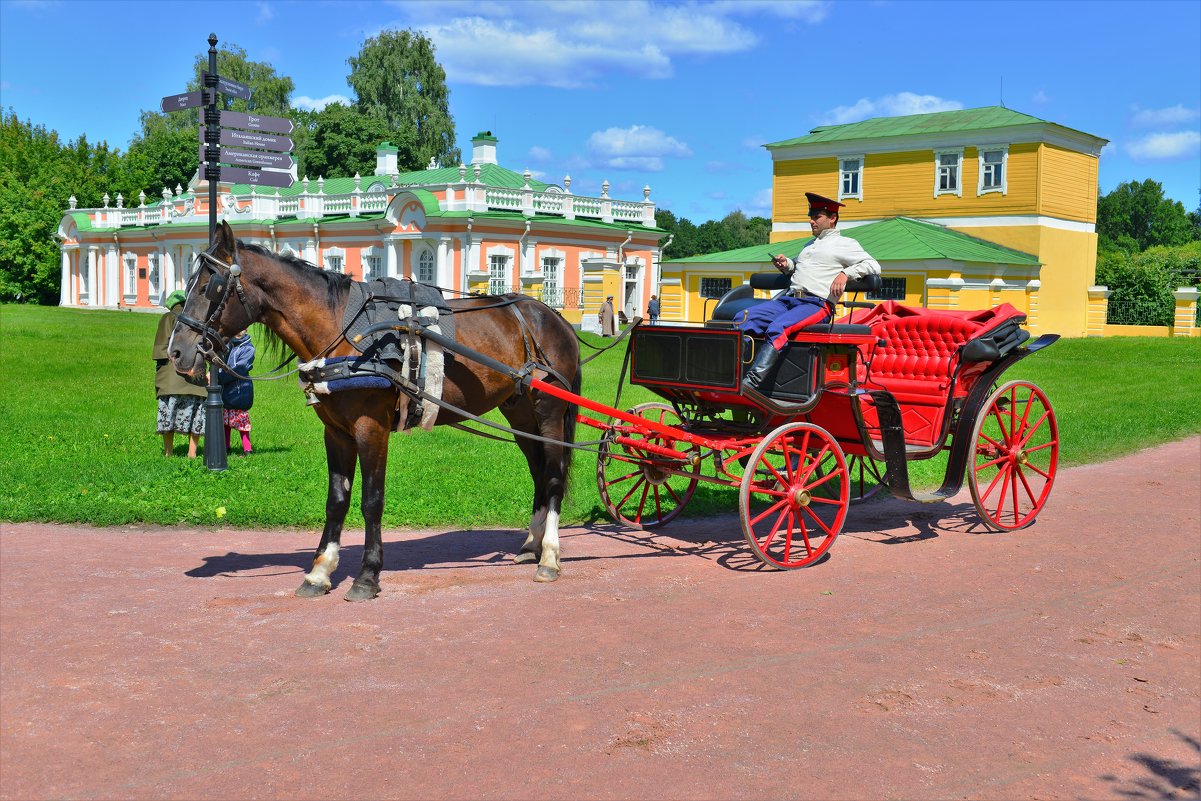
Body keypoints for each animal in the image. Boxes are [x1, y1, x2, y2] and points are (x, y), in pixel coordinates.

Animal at [170, 222, 581, 598]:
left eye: (209, 285)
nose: (177, 351)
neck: (347, 332)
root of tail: (552, 316)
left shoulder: (372, 428)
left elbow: (371, 500)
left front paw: (367, 575)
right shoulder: (336, 432)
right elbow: (337, 501)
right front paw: (319, 571)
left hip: (549, 412)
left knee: (554, 475)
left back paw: (549, 555)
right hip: (521, 414)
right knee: (539, 472)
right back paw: (530, 544)